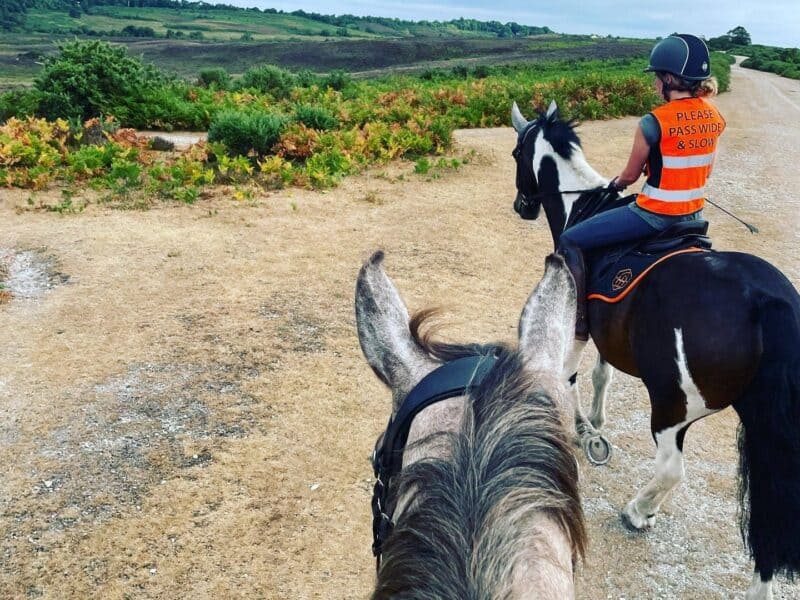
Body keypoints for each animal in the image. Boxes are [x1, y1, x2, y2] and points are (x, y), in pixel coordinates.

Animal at [512, 101, 800, 596]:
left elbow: (568, 375)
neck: (580, 206)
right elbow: (601, 374)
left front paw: (582, 431)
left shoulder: (575, 324)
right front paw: (595, 423)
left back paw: (638, 511)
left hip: (671, 405)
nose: (521, 206)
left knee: (670, 469)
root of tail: (765, 298)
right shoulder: (607, 335)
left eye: (516, 153)